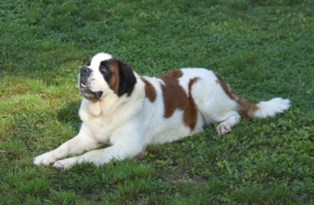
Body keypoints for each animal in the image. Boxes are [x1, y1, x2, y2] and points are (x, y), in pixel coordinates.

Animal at [33, 52, 290, 169]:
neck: (106, 109)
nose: (83, 70)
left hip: (199, 87)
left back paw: (224, 126)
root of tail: (219, 76)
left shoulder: (128, 147)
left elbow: (92, 155)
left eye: (104, 69)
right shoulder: (87, 136)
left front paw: (66, 164)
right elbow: (65, 146)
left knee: (236, 113)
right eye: (88, 64)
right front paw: (47, 156)